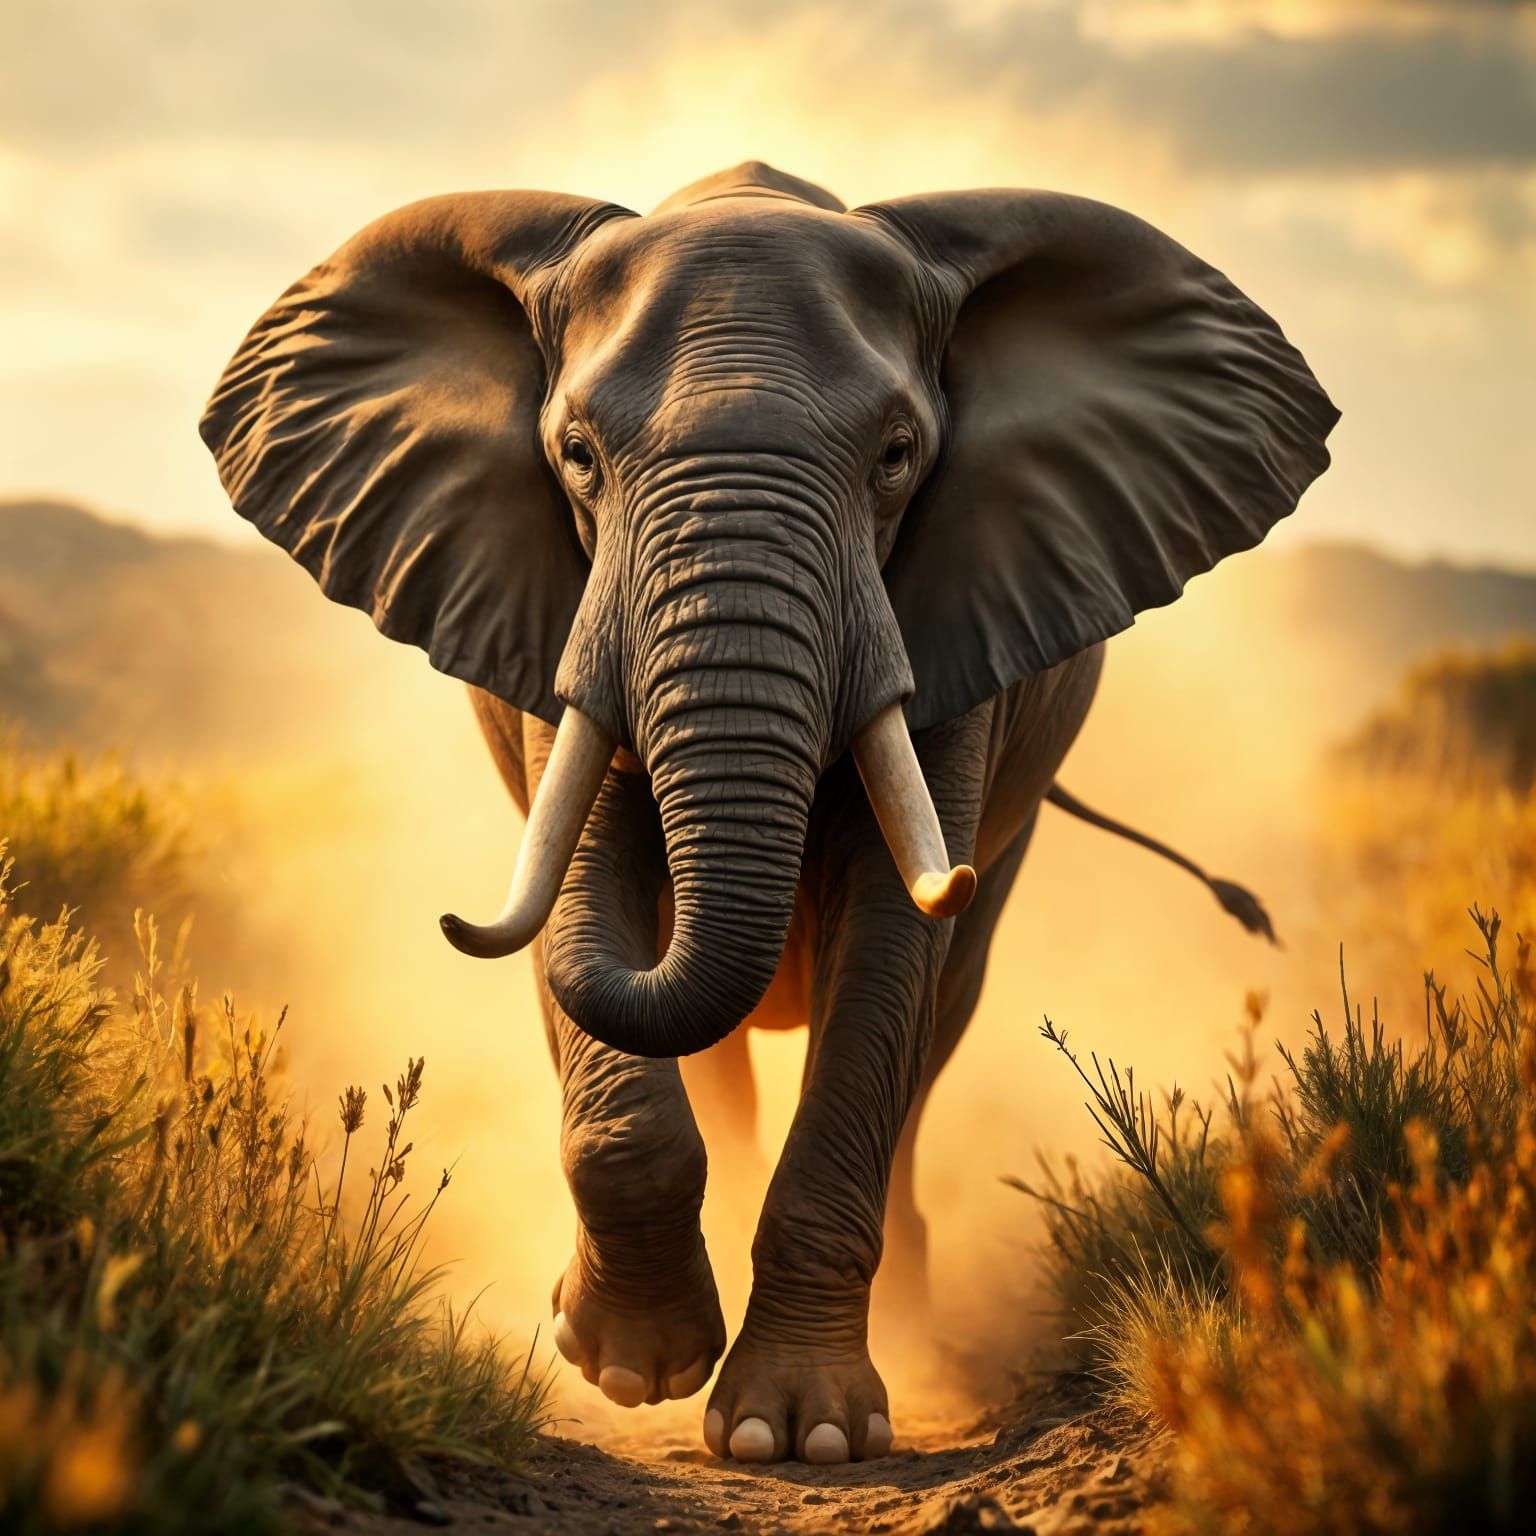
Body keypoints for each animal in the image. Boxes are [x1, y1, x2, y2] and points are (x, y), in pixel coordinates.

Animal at [201, 161, 1336, 1466]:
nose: (453, 919)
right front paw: (627, 1368)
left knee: (937, 1015)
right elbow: (590, 880)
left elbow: (888, 951)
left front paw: (796, 1436)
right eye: (577, 455)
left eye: (897, 455)